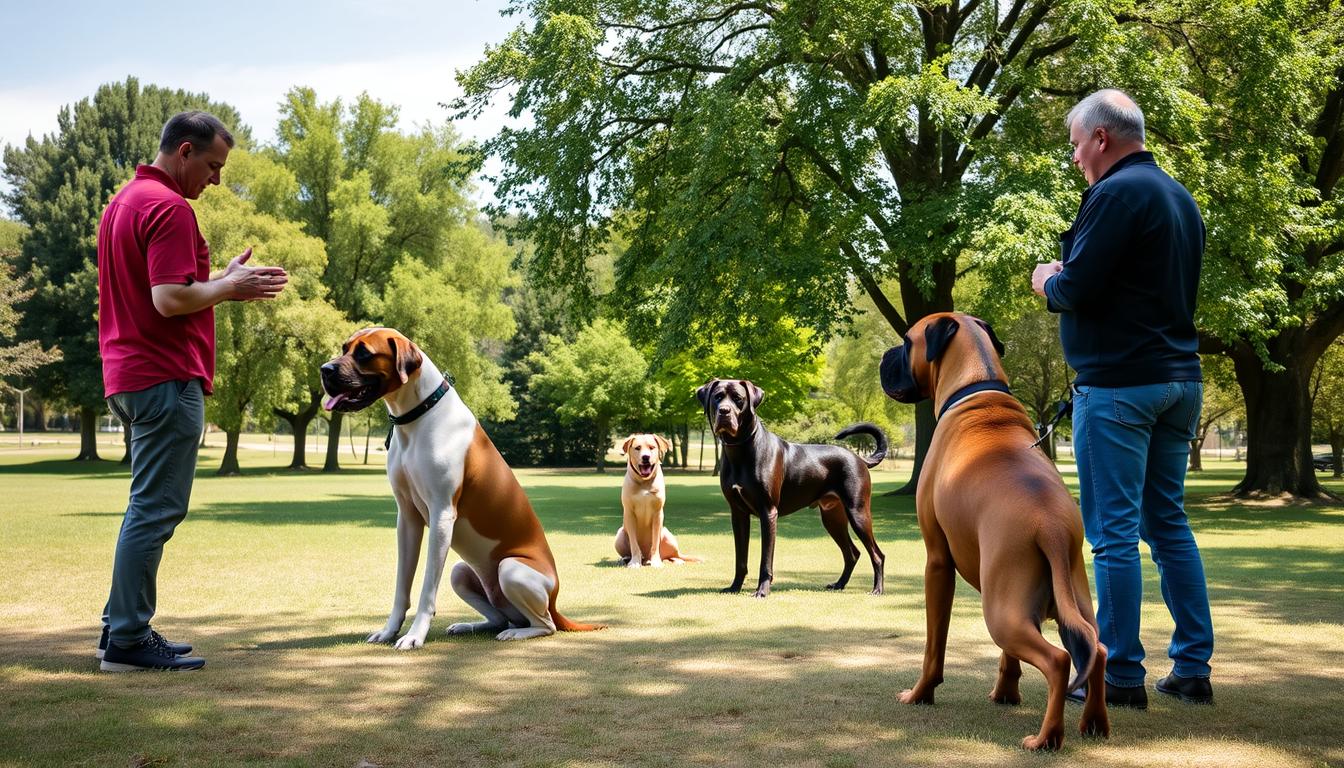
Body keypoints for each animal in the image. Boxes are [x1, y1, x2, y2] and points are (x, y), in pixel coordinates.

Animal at [319, 328, 599, 650]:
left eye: (364, 353)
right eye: (345, 348)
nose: (324, 369)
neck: (419, 415)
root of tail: (554, 600)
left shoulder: (441, 515)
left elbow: (427, 588)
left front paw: (415, 636)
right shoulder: (407, 517)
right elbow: (402, 587)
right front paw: (389, 631)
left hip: (511, 569)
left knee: (545, 625)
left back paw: (518, 633)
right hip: (461, 573)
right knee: (500, 617)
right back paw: (471, 625)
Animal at [615, 435, 704, 567]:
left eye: (652, 447)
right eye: (637, 448)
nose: (645, 457)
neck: (644, 481)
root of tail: (645, 558)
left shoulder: (657, 513)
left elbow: (655, 541)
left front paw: (656, 562)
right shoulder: (629, 513)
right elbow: (634, 544)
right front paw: (634, 562)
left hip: (667, 535)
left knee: (673, 555)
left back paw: (675, 560)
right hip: (619, 535)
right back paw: (625, 559)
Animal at [693, 379, 892, 599]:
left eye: (738, 398)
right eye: (717, 397)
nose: (724, 411)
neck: (740, 450)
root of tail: (860, 459)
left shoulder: (768, 512)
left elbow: (765, 560)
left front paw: (762, 590)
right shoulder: (738, 514)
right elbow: (740, 558)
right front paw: (735, 587)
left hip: (858, 513)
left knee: (877, 554)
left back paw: (877, 589)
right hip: (832, 517)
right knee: (852, 553)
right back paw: (839, 584)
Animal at [876, 312, 1107, 753]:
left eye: (906, 341)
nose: (883, 357)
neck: (975, 384)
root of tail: (1051, 525)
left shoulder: (937, 562)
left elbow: (934, 645)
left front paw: (920, 694)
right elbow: (1007, 659)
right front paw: (1006, 693)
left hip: (1002, 614)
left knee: (1058, 660)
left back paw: (1046, 737)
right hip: (1062, 602)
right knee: (1097, 649)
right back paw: (1095, 723)